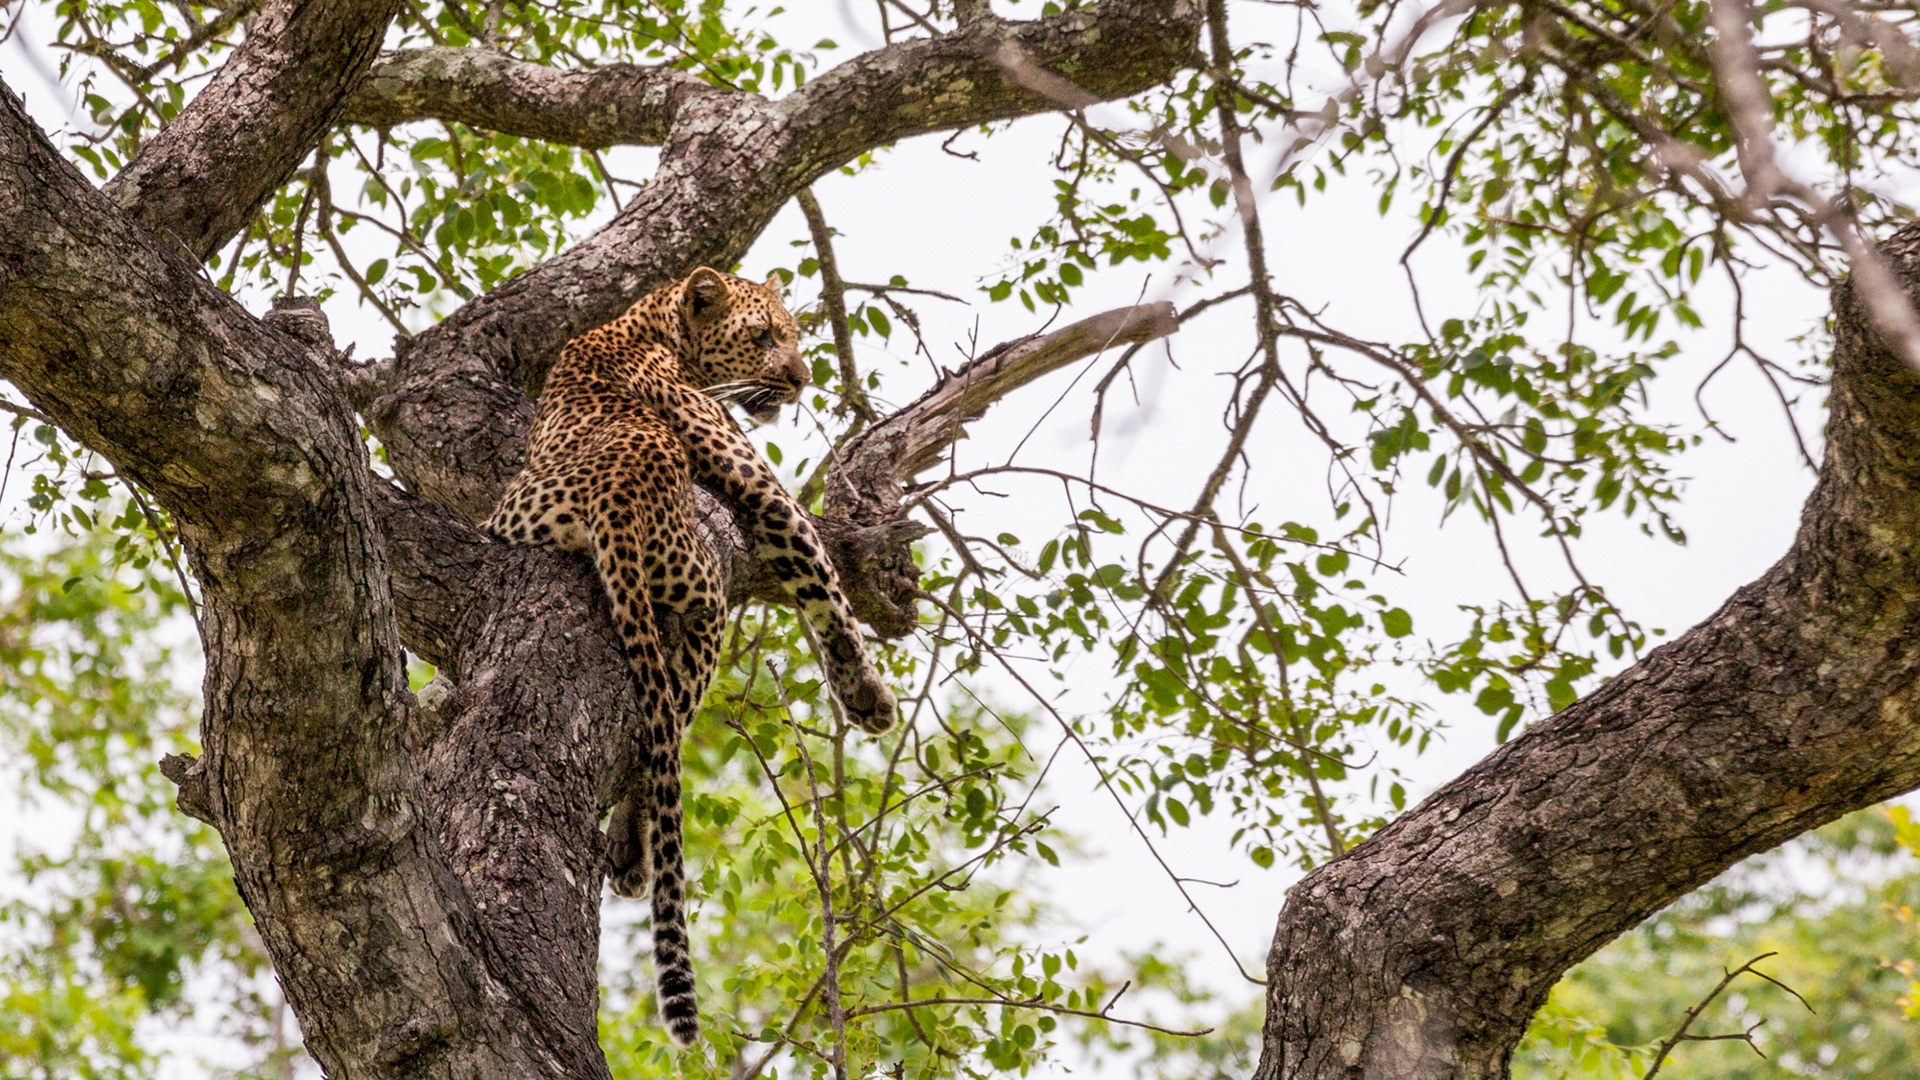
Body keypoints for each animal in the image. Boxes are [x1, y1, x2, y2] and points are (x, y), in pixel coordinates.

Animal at [483, 267, 898, 1048]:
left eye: (793, 334)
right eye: (764, 336)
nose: (801, 379)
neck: (647, 322)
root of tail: (615, 494)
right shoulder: (760, 484)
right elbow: (824, 584)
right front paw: (865, 692)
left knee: (658, 726)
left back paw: (627, 847)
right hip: (705, 594)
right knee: (670, 717)